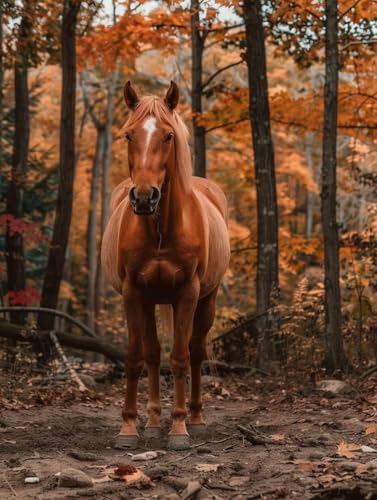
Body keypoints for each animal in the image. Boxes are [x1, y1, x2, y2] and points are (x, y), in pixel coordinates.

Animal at [100, 81, 229, 450]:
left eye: (169, 136)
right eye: (128, 135)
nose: (145, 197)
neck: (160, 227)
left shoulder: (187, 293)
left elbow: (181, 357)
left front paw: (180, 429)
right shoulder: (133, 293)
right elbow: (137, 357)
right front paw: (129, 428)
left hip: (207, 301)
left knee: (196, 352)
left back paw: (195, 418)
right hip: (151, 300)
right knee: (153, 354)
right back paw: (154, 421)